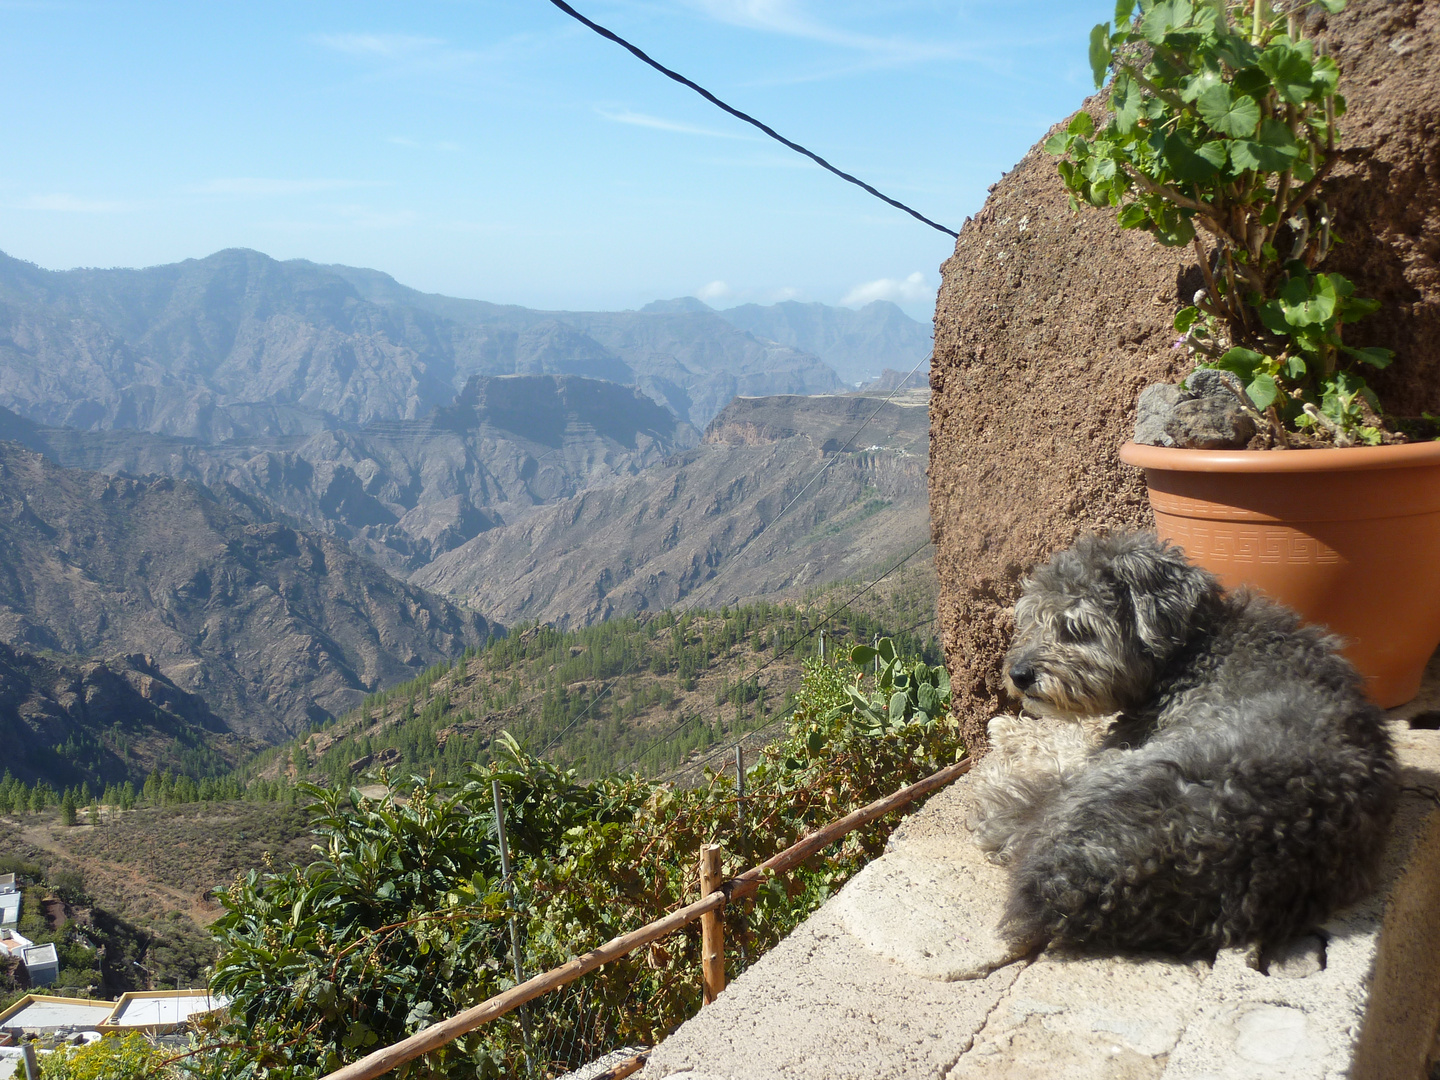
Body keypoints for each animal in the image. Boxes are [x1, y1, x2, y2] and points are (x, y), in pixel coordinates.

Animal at [973, 529, 1399, 956]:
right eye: (1032, 620)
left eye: (1076, 630)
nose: (1018, 674)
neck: (1191, 647)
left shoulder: (1121, 740)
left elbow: (1067, 740)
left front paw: (1008, 733)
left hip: (1120, 771)